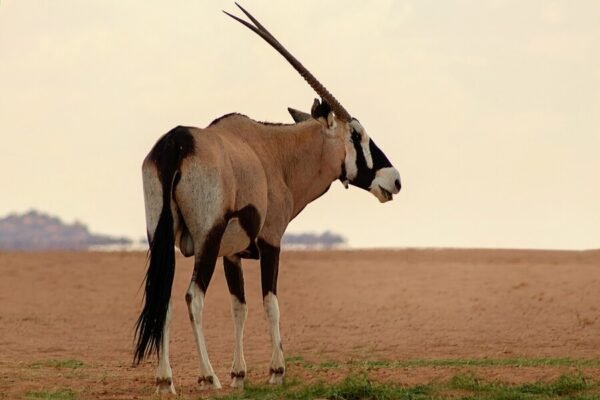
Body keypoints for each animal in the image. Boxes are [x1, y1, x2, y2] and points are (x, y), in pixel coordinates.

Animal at [134, 3, 400, 394]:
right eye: (356, 134)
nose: (394, 180)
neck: (275, 154)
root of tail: (177, 142)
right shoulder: (271, 240)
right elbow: (270, 302)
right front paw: (276, 371)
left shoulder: (232, 253)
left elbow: (239, 307)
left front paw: (239, 374)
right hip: (206, 239)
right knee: (192, 297)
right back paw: (207, 376)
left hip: (162, 238)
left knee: (163, 297)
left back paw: (165, 381)